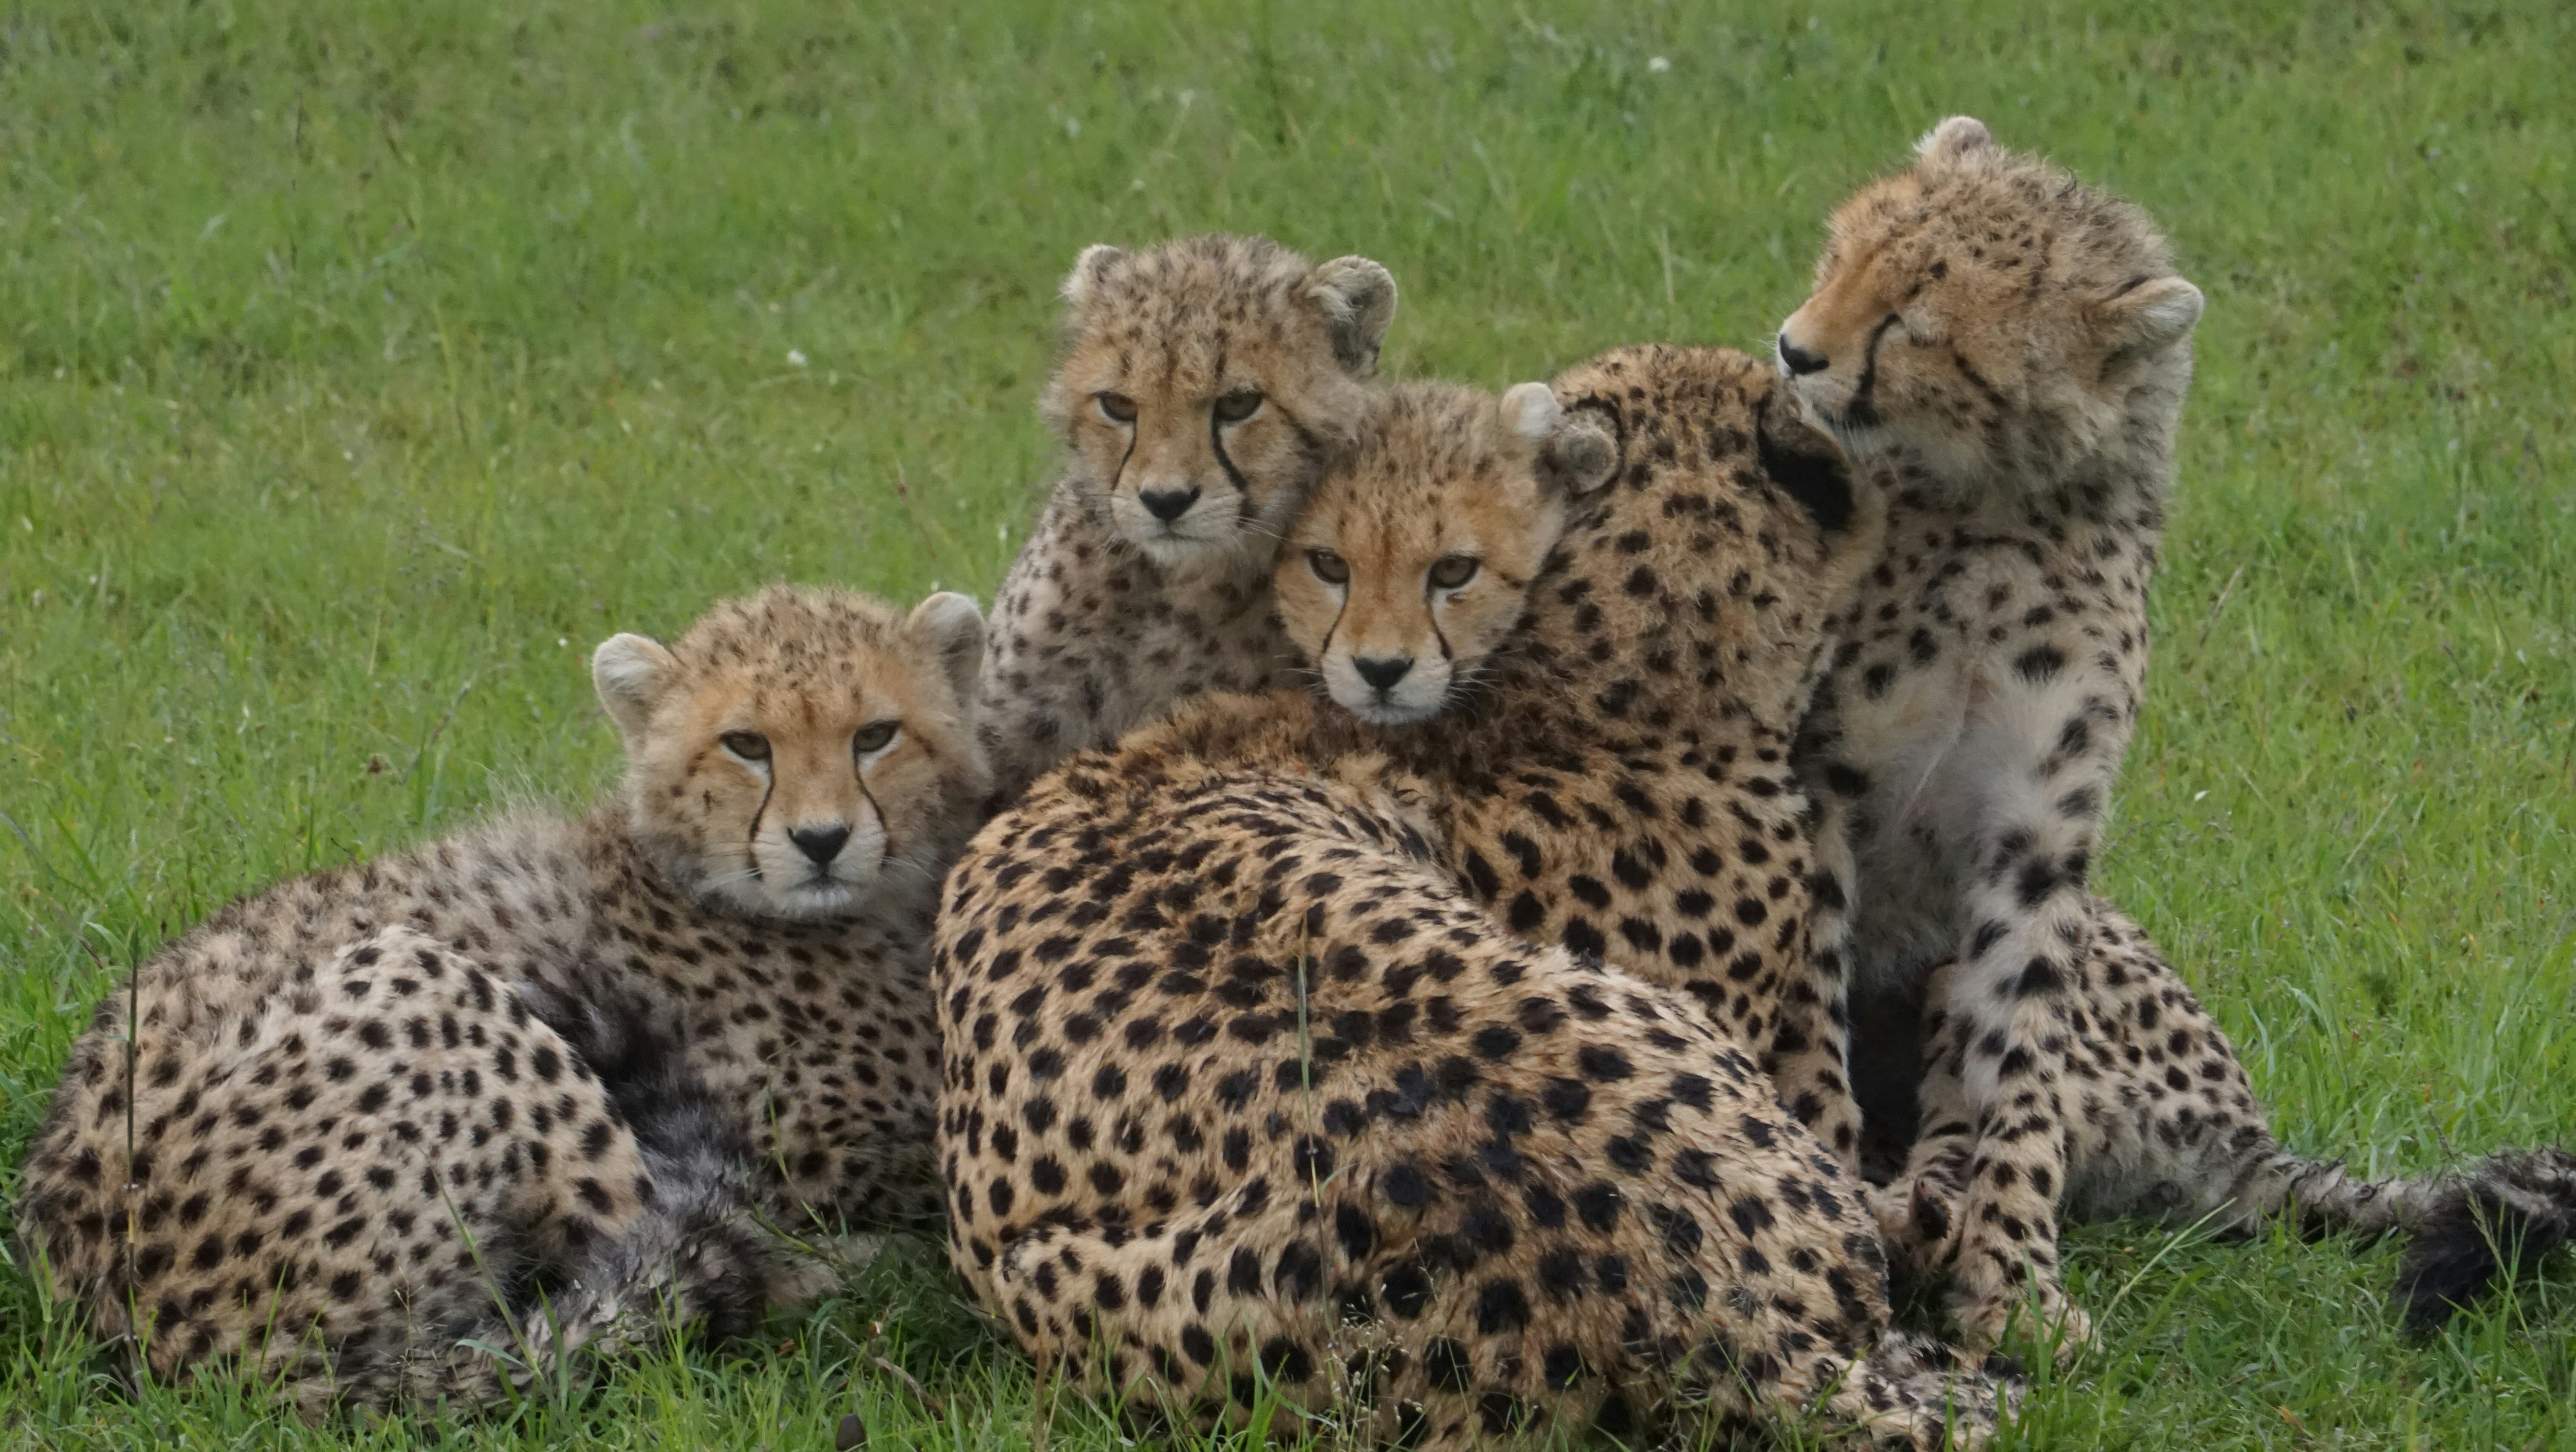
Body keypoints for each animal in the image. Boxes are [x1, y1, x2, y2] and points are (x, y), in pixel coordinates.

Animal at [14, 585, 992, 1410]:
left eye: (876, 735)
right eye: (747, 744)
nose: (822, 839)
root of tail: (195, 1352)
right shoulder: (809, 1143)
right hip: (430, 980)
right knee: (666, 1256)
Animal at [1774, 115, 2576, 1350]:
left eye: (1914, 319)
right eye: (1837, 261)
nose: (1794, 349)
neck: (1985, 510)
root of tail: (2248, 1139)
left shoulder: (2037, 843)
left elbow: (2019, 1070)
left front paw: (2015, 1283)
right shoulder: (1814, 788)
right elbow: (1806, 1014)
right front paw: (1820, 1178)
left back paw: (1928, 1212)